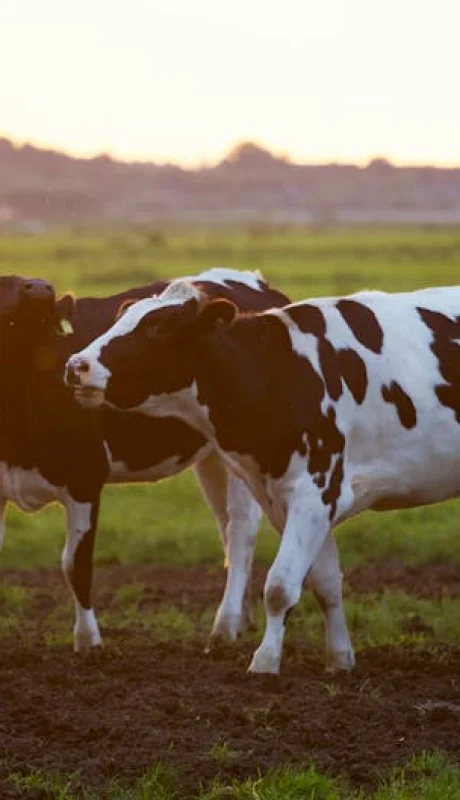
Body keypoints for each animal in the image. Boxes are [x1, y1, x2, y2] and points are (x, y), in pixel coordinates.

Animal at [0, 269, 289, 652]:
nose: (41, 287)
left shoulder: (85, 479)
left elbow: (76, 565)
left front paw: (88, 643)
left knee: (240, 530)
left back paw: (225, 626)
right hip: (214, 458)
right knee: (225, 525)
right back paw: (241, 619)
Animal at [67, 279, 460, 674]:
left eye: (157, 327)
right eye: (123, 317)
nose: (76, 365)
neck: (280, 373)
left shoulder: (316, 492)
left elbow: (280, 586)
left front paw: (265, 662)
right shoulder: (289, 499)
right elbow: (326, 584)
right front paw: (339, 658)